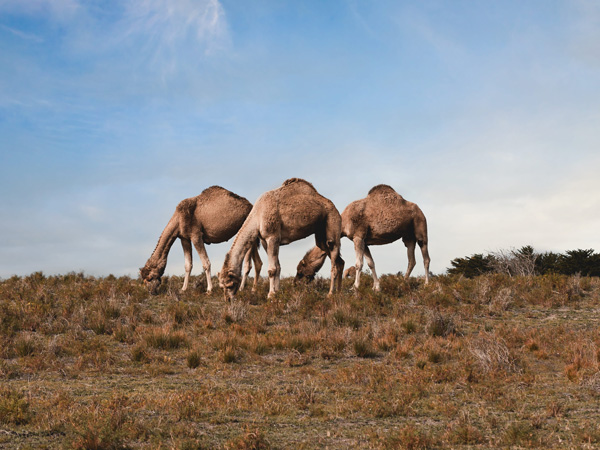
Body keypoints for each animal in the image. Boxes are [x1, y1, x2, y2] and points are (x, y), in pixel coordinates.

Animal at [296, 185, 432, 290]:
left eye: (300, 270)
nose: (295, 283)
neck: (344, 222)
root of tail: (420, 210)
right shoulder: (365, 241)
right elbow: (371, 263)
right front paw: (376, 287)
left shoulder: (358, 237)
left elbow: (358, 264)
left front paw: (354, 287)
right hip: (408, 236)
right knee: (411, 259)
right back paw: (402, 283)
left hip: (420, 226)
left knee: (426, 256)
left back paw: (426, 284)